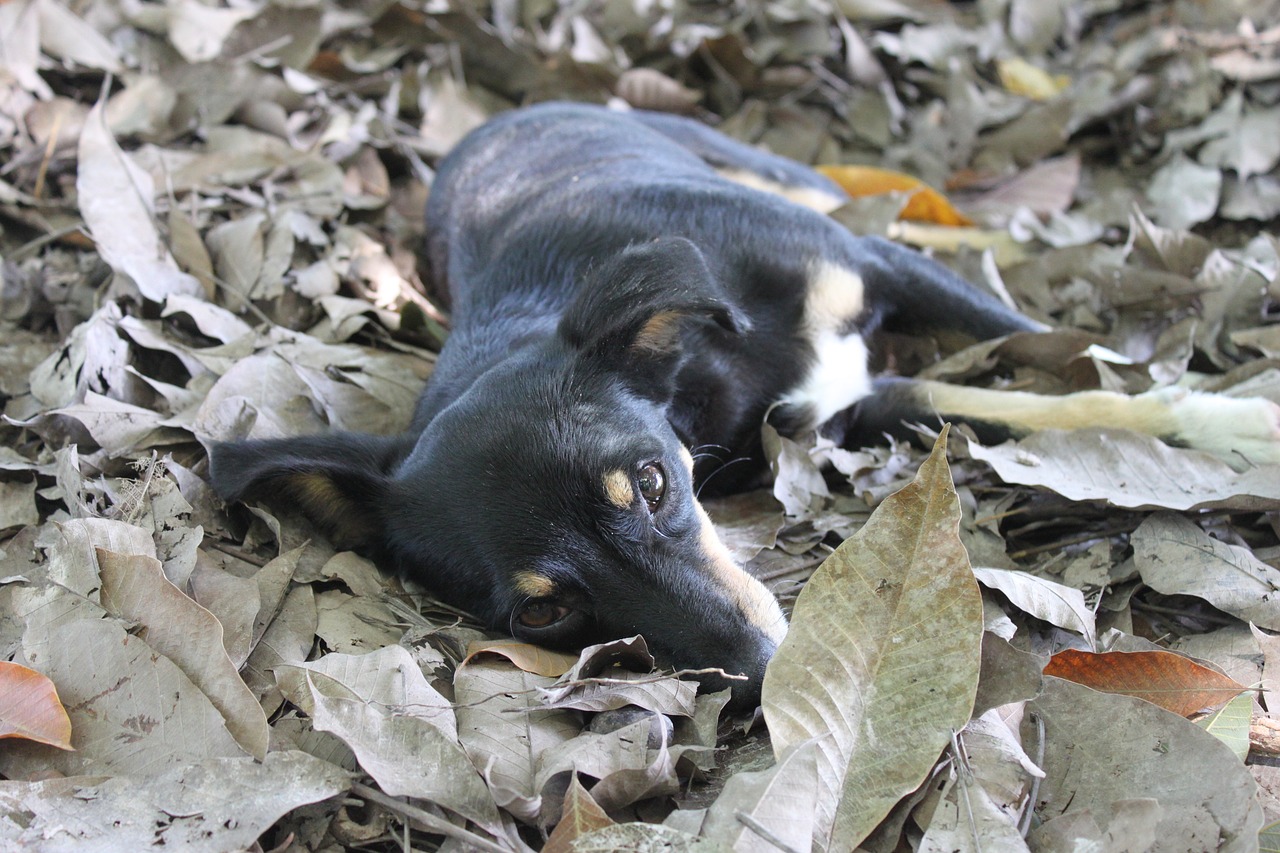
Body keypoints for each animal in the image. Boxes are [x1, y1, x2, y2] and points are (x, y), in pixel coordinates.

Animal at [215, 103, 1280, 706]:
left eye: (653, 484)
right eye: (545, 613)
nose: (770, 679)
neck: (709, 370)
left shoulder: (875, 271)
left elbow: (1073, 367)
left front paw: (1230, 419)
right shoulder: (851, 412)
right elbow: (1012, 402)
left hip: (772, 175)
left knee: (900, 211)